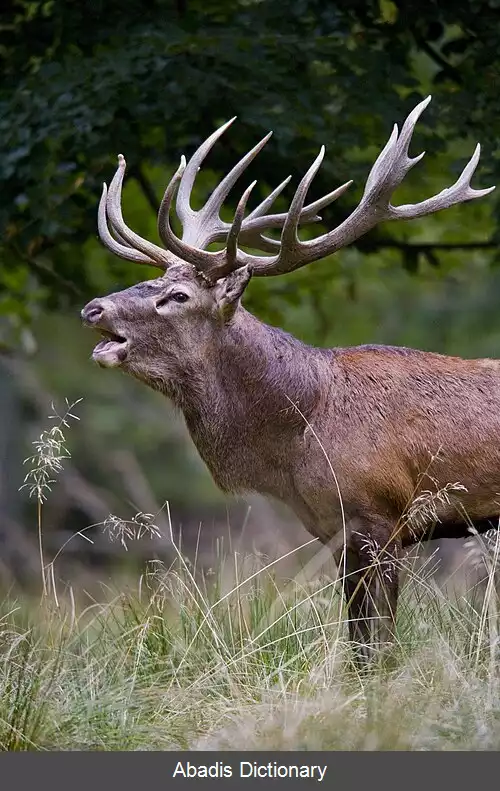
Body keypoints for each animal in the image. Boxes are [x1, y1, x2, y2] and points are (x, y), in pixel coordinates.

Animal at [82, 96, 496, 660]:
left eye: (178, 296)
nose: (93, 307)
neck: (300, 431)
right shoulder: (335, 533)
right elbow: (357, 640)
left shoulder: (383, 517)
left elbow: (380, 644)